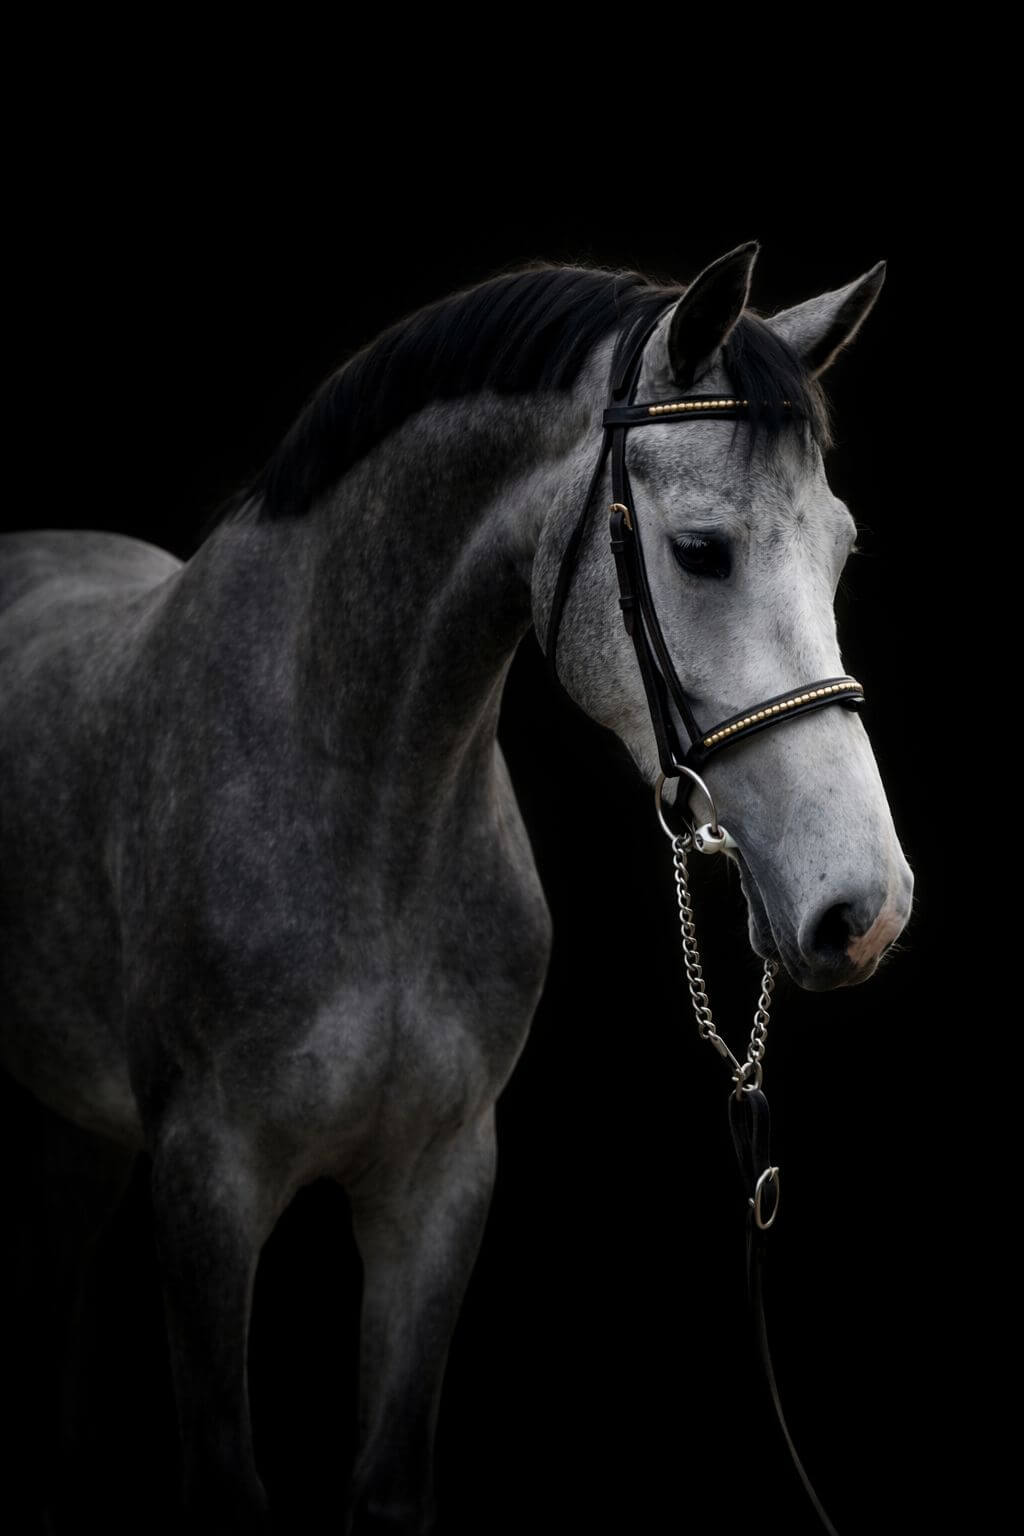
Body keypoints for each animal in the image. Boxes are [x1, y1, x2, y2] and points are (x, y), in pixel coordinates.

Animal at [0, 240, 914, 1533]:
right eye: (700, 550)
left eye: (840, 549)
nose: (864, 910)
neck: (367, 813)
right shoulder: (206, 1189)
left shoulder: (439, 1186)